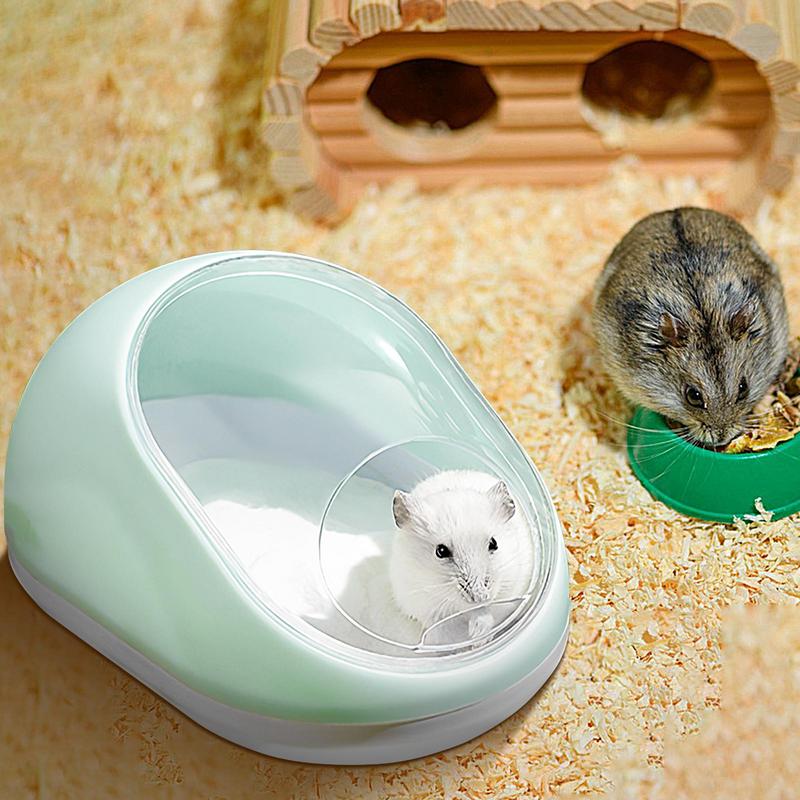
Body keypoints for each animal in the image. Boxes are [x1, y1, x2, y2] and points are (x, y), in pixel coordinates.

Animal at [390, 470, 534, 644]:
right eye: (441, 551)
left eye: (493, 543)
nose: (480, 597)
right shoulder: (425, 606)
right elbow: (443, 628)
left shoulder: (510, 594)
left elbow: (487, 613)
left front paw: (479, 638)